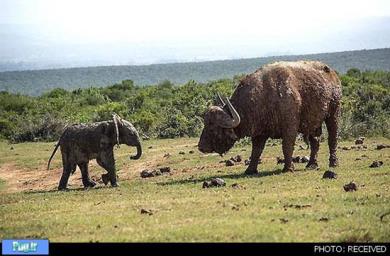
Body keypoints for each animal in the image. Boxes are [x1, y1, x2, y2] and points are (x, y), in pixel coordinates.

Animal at [198, 60, 342, 174]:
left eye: (213, 127)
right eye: (205, 124)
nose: (201, 147)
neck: (264, 95)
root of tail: (334, 76)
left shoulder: (290, 127)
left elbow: (287, 146)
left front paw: (288, 168)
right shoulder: (259, 132)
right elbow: (256, 151)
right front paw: (250, 169)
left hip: (333, 113)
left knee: (332, 138)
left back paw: (333, 163)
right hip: (314, 123)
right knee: (315, 141)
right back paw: (312, 164)